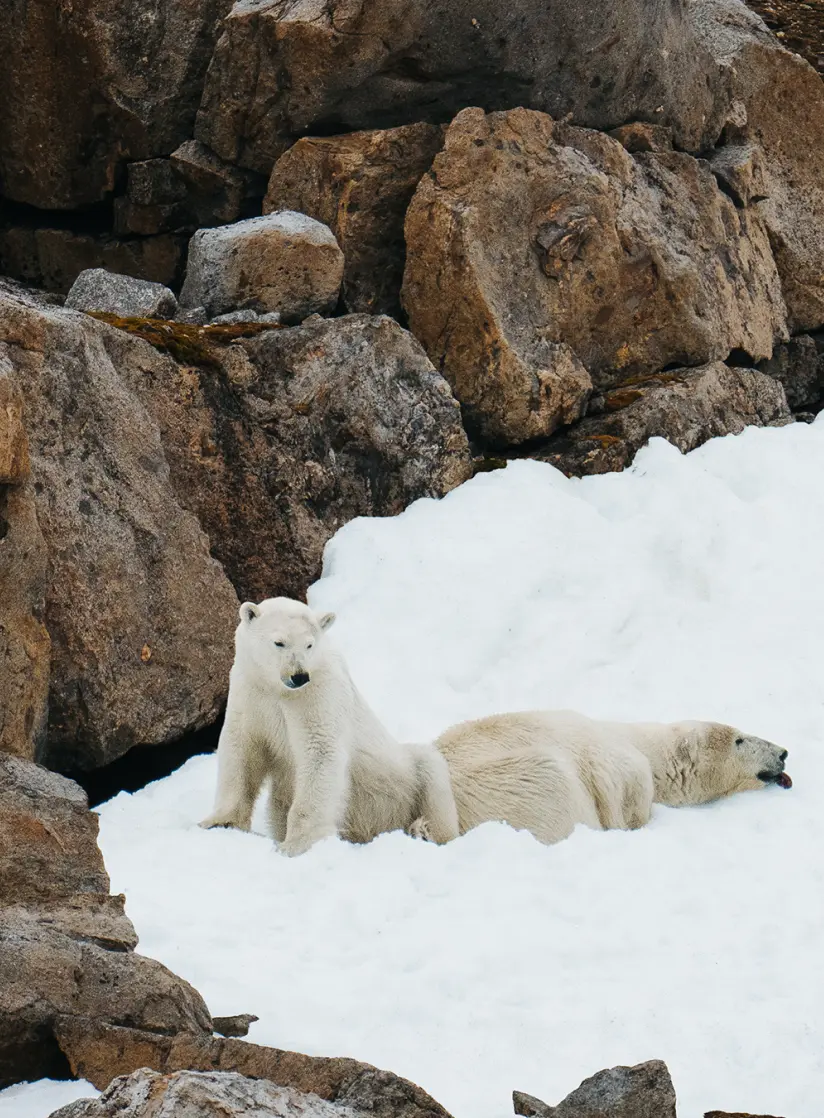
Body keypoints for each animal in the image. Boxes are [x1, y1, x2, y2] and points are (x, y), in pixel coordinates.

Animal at [200, 597, 459, 857]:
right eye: (279, 642)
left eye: (309, 645)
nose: (299, 676)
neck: (279, 690)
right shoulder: (250, 692)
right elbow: (241, 750)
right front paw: (220, 822)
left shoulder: (318, 693)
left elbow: (320, 750)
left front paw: (297, 843)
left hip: (403, 776)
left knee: (430, 771)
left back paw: (424, 831)